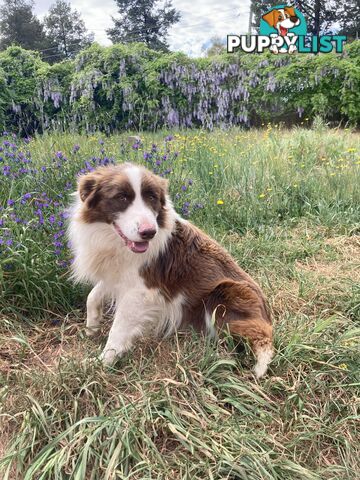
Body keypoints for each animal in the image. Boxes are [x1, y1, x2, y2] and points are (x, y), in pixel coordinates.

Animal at [68, 165, 272, 378]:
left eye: (152, 197)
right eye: (121, 197)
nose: (149, 232)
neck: (115, 241)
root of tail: (266, 313)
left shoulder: (140, 291)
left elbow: (118, 328)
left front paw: (102, 362)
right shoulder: (116, 275)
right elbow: (93, 296)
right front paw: (92, 326)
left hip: (223, 295)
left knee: (261, 339)